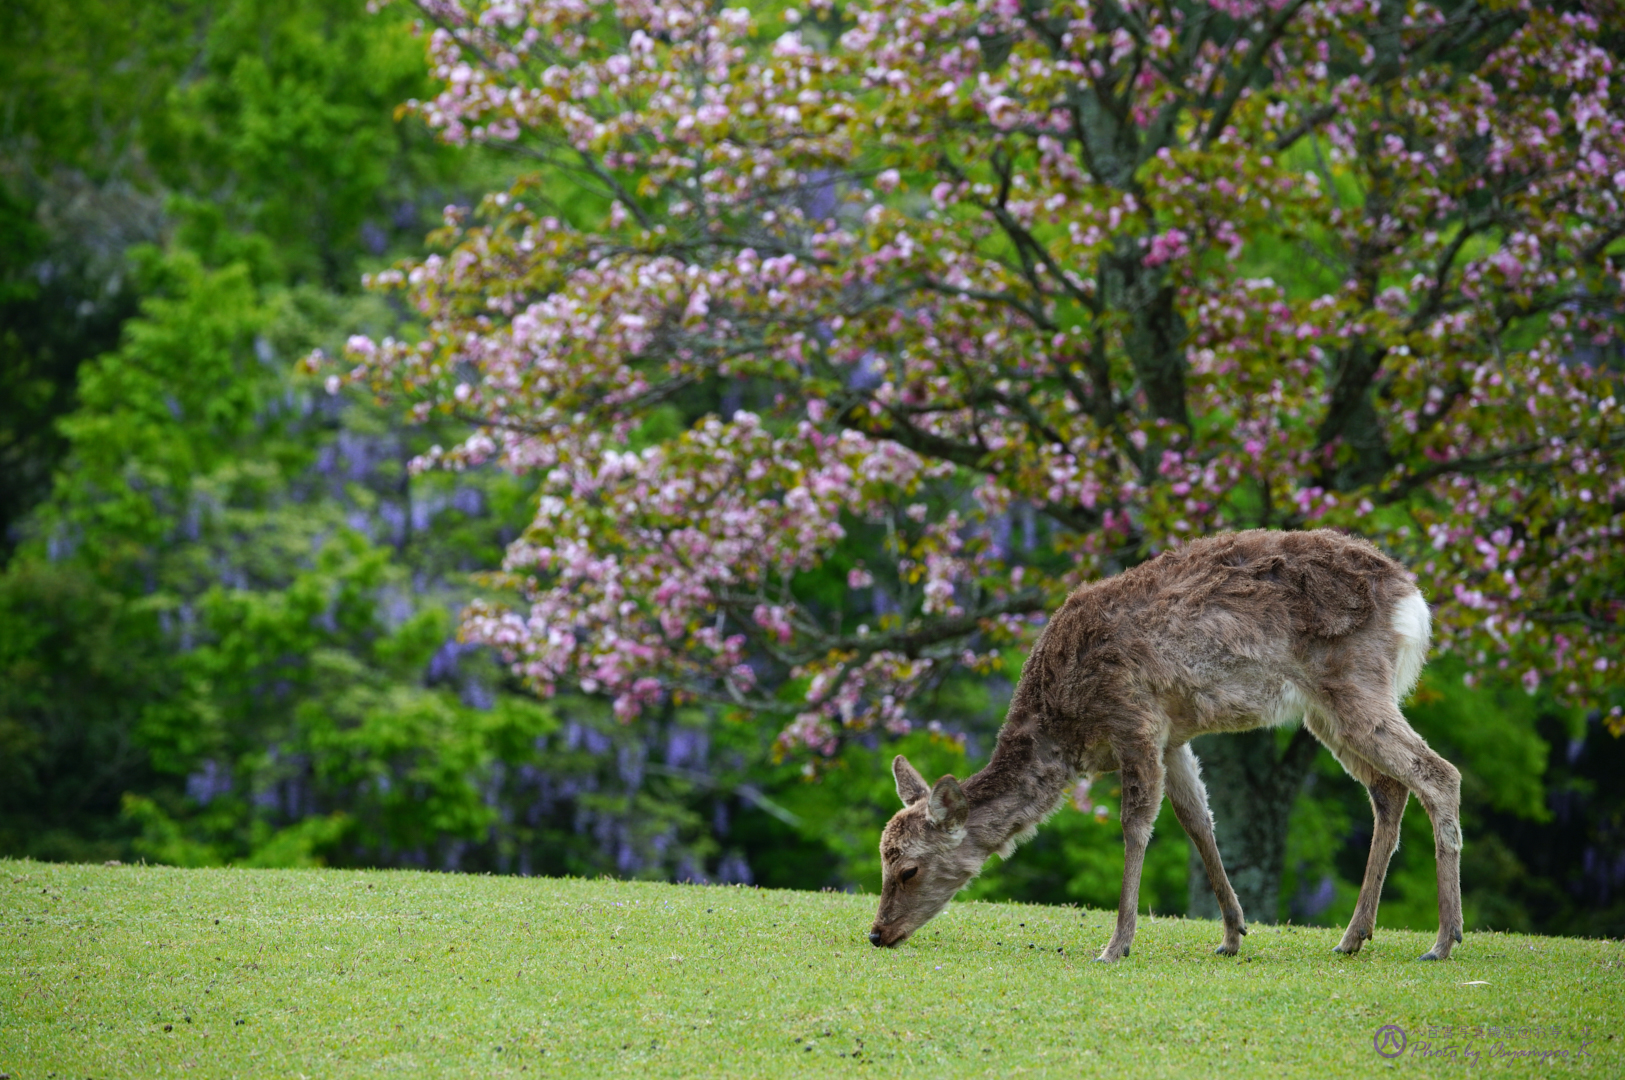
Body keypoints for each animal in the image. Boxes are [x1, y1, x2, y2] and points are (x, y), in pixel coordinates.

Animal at [871, 529, 1469, 961]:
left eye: (908, 870)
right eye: (884, 859)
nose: (877, 933)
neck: (1065, 727)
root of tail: (1414, 601)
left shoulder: (1134, 718)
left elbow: (1137, 826)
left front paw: (1116, 945)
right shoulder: (1175, 737)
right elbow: (1197, 820)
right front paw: (1232, 933)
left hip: (1354, 682)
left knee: (1439, 773)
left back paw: (1443, 941)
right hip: (1325, 711)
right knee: (1390, 787)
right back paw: (1353, 936)